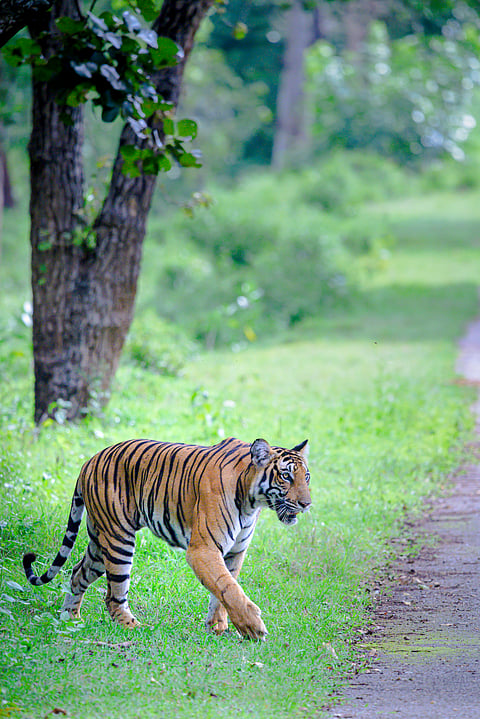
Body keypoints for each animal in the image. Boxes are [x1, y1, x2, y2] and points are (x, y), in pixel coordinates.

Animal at [23, 436, 311, 640]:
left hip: (99, 539)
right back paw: (135, 627)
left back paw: (70, 619)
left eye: (306, 477)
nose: (307, 504)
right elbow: (228, 587)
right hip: (119, 539)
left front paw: (217, 626)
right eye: (286, 476)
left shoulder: (234, 552)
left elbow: (224, 588)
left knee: (77, 573)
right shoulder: (203, 549)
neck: (253, 500)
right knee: (113, 597)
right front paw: (252, 627)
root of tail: (89, 460)